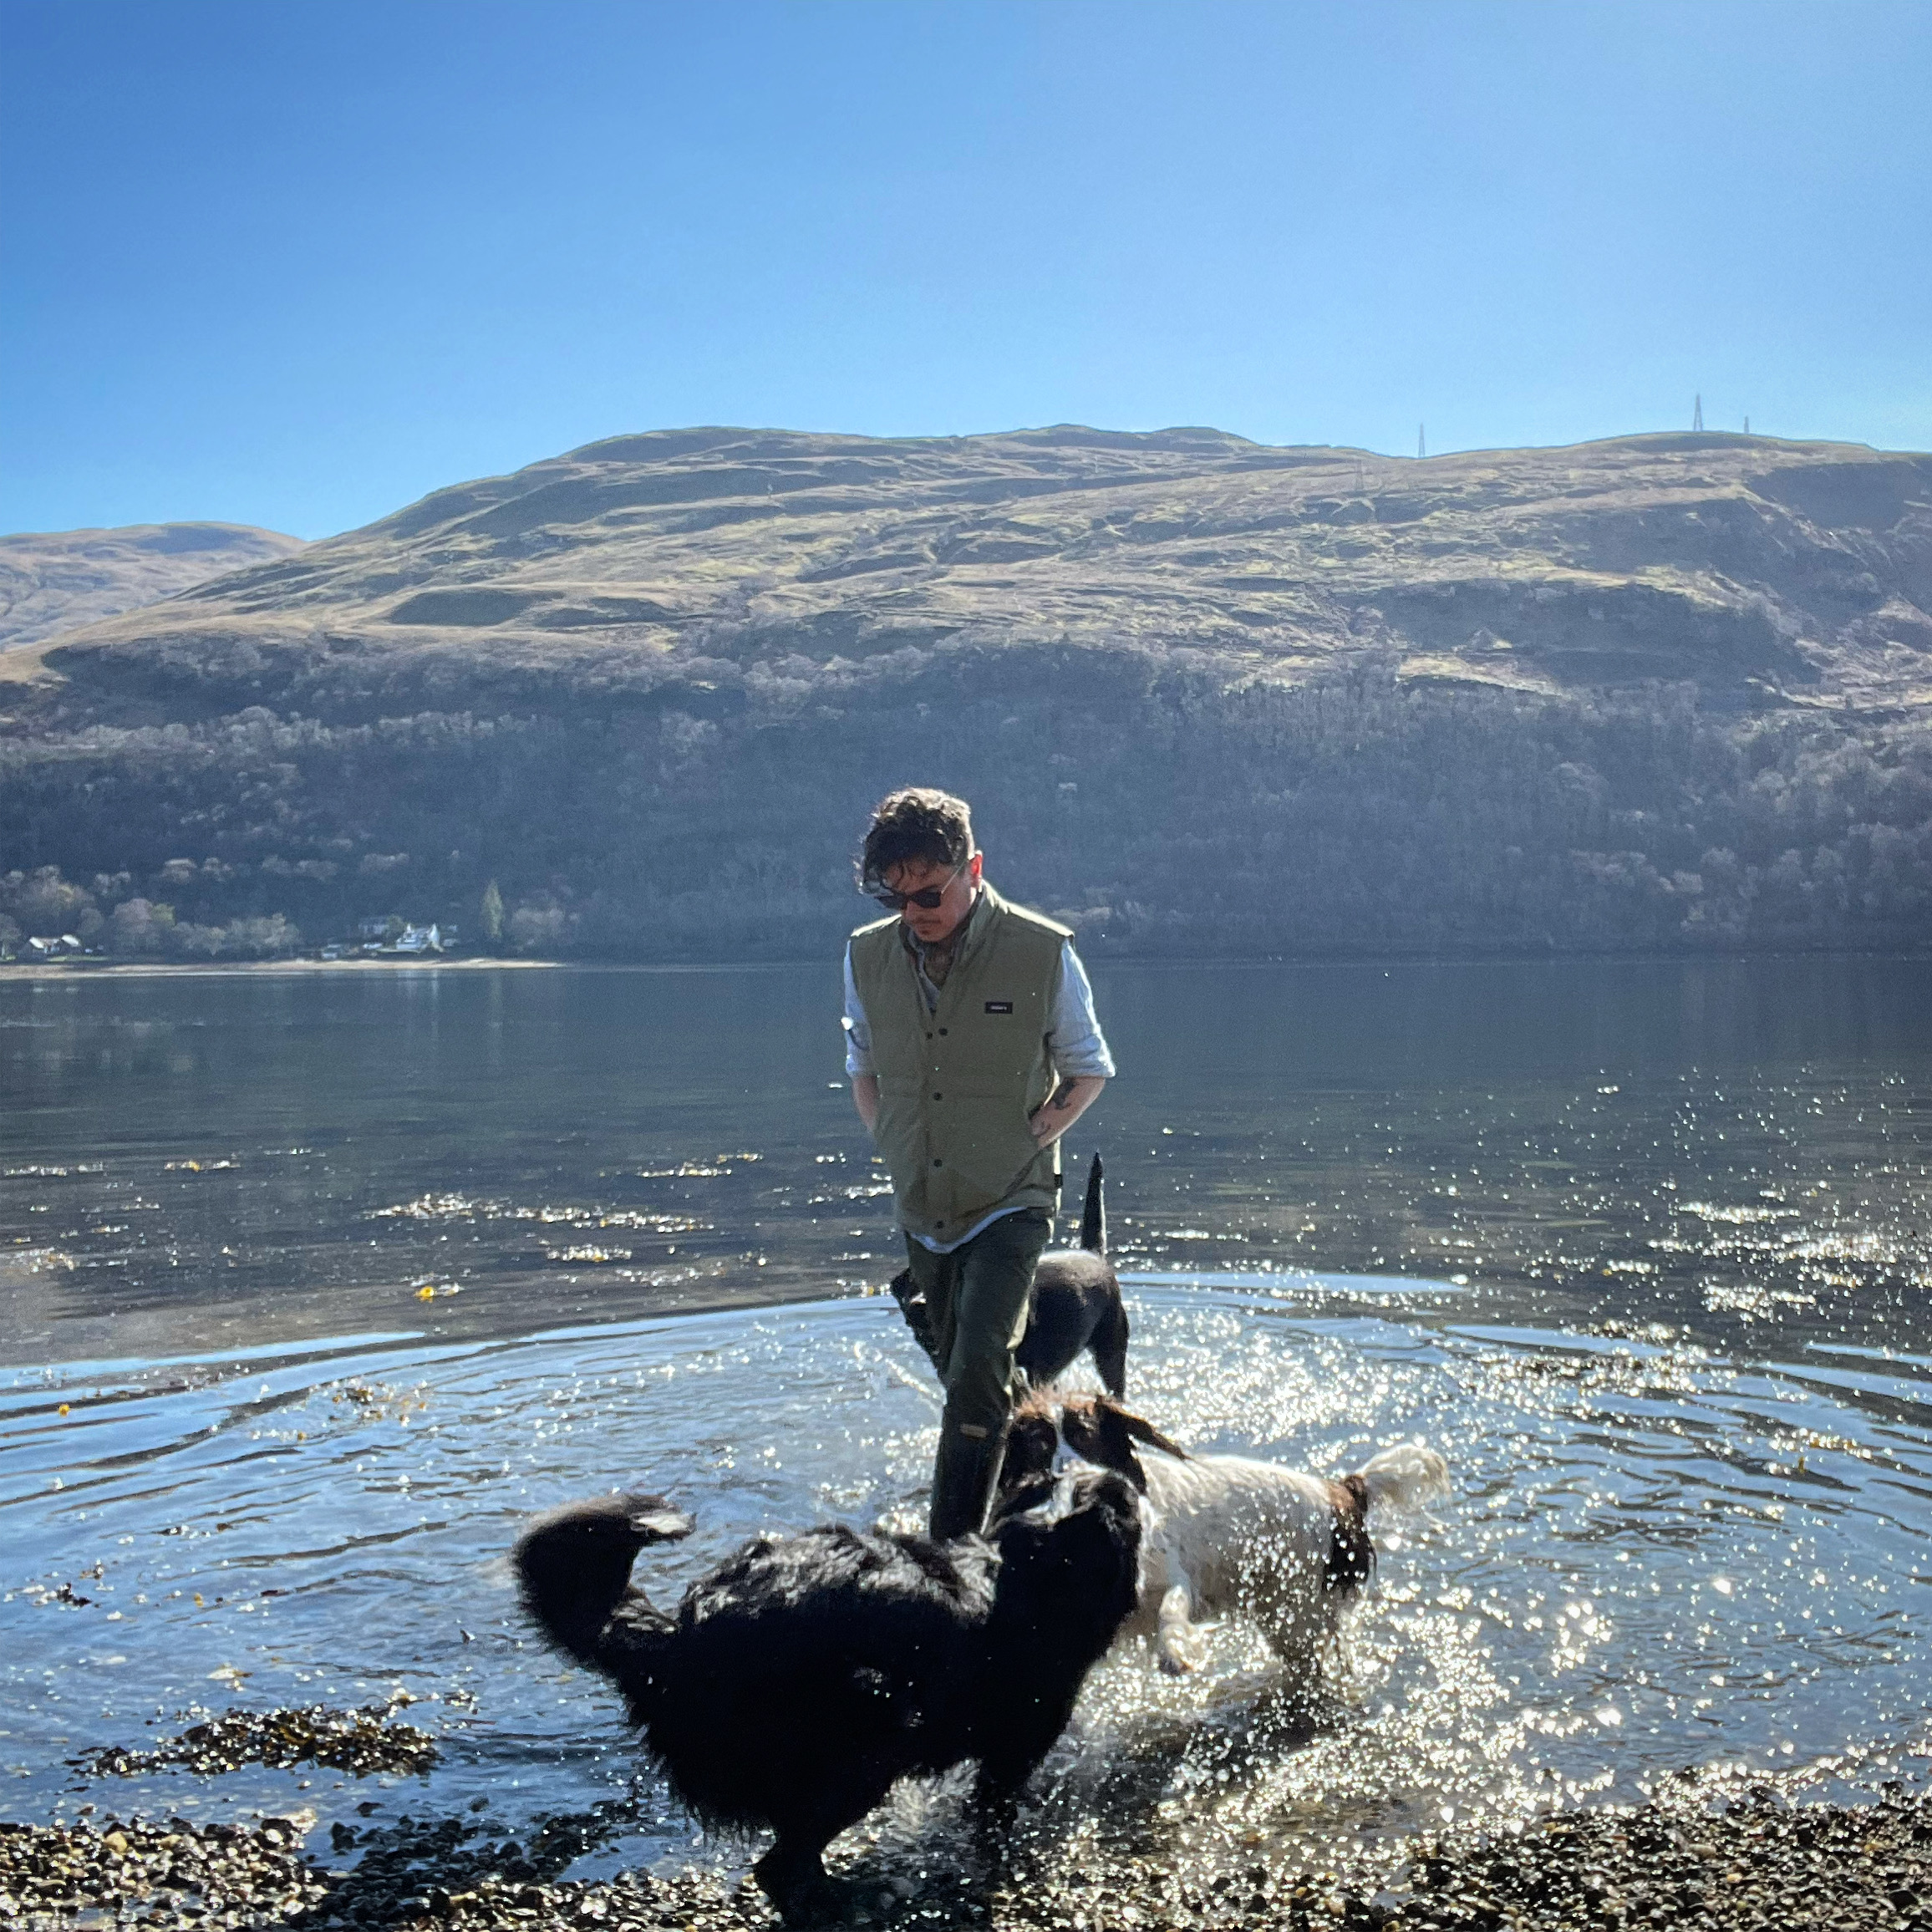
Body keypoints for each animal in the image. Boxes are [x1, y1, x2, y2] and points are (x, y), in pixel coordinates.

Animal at [517, 1468, 1143, 1909]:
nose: (1134, 1483)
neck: (1031, 1568)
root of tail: (680, 1639)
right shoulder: (1017, 1746)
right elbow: (993, 1814)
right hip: (871, 1729)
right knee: (781, 1864)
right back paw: (844, 1899)